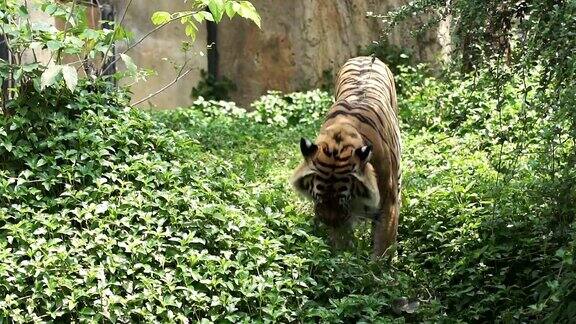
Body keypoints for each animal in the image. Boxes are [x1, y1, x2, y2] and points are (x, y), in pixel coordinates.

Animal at [290, 55, 402, 258]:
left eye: (343, 198)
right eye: (318, 197)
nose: (327, 221)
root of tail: (366, 56)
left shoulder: (387, 205)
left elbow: (383, 245)